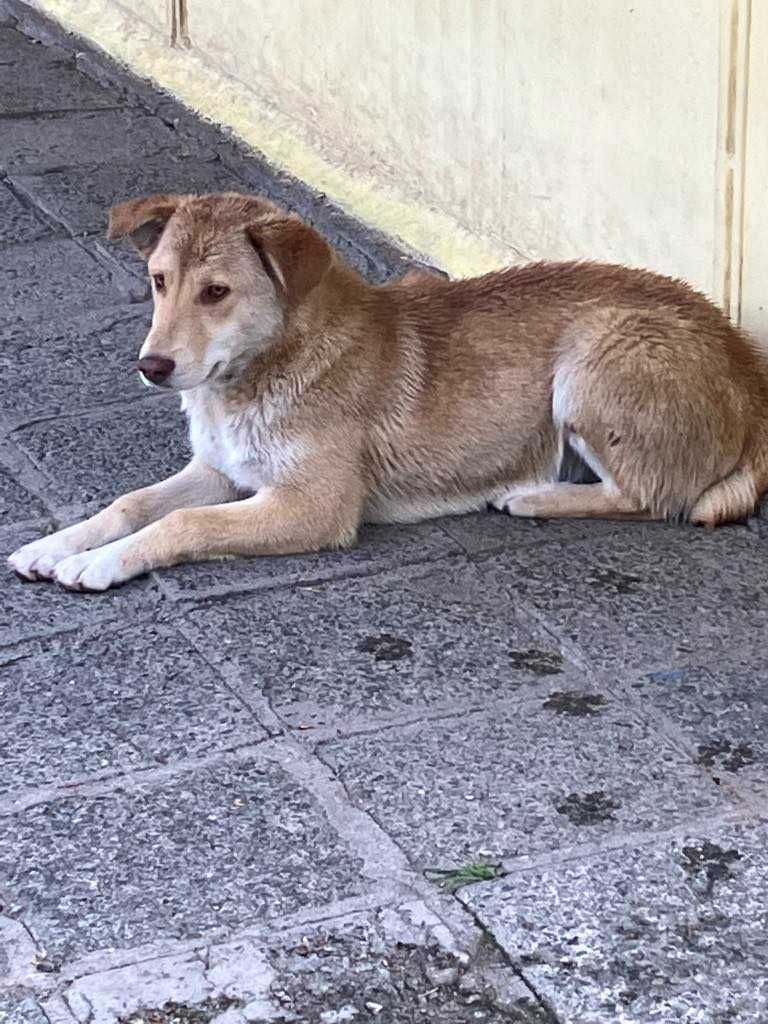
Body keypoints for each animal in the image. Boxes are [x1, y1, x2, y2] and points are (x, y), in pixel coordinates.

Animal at [7, 192, 768, 593]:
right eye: (159, 281)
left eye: (216, 292)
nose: (152, 366)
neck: (270, 366)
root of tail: (743, 358)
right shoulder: (223, 472)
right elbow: (133, 502)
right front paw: (61, 544)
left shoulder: (312, 507)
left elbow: (184, 525)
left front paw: (99, 563)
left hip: (593, 354)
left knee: (653, 497)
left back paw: (536, 496)